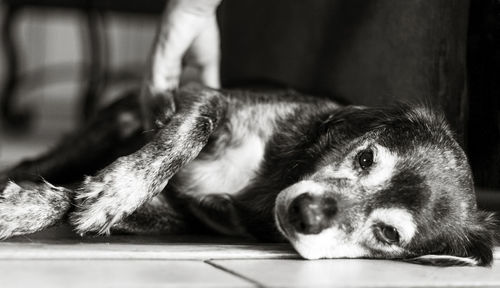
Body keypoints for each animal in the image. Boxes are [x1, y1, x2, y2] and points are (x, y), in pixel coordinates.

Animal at [0, 84, 496, 266]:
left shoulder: (178, 215)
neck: (274, 179)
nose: (305, 212)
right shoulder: (205, 97)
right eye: (366, 158)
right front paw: (114, 191)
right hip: (108, 126)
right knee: (34, 165)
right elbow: (187, 134)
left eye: (389, 234)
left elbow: (72, 198)